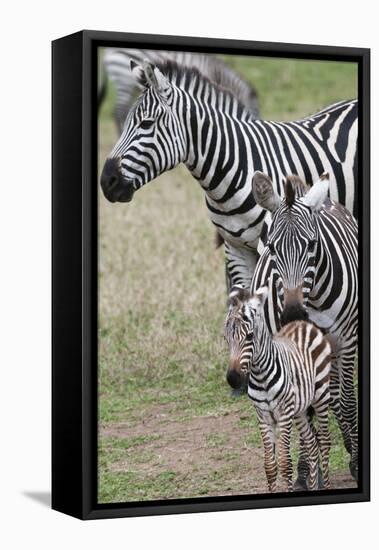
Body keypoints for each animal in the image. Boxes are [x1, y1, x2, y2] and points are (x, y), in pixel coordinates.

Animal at [226, 286, 332, 494]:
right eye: (226, 338)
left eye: (249, 336)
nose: (232, 379)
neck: (261, 376)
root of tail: (302, 323)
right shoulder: (263, 416)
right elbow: (269, 465)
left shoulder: (283, 415)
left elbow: (285, 463)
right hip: (299, 410)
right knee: (312, 444)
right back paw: (313, 486)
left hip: (321, 396)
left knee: (324, 443)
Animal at [251, 171, 358, 484]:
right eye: (272, 248)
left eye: (311, 245)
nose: (293, 313)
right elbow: (304, 407)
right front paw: (304, 471)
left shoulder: (347, 341)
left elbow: (347, 401)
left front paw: (356, 462)